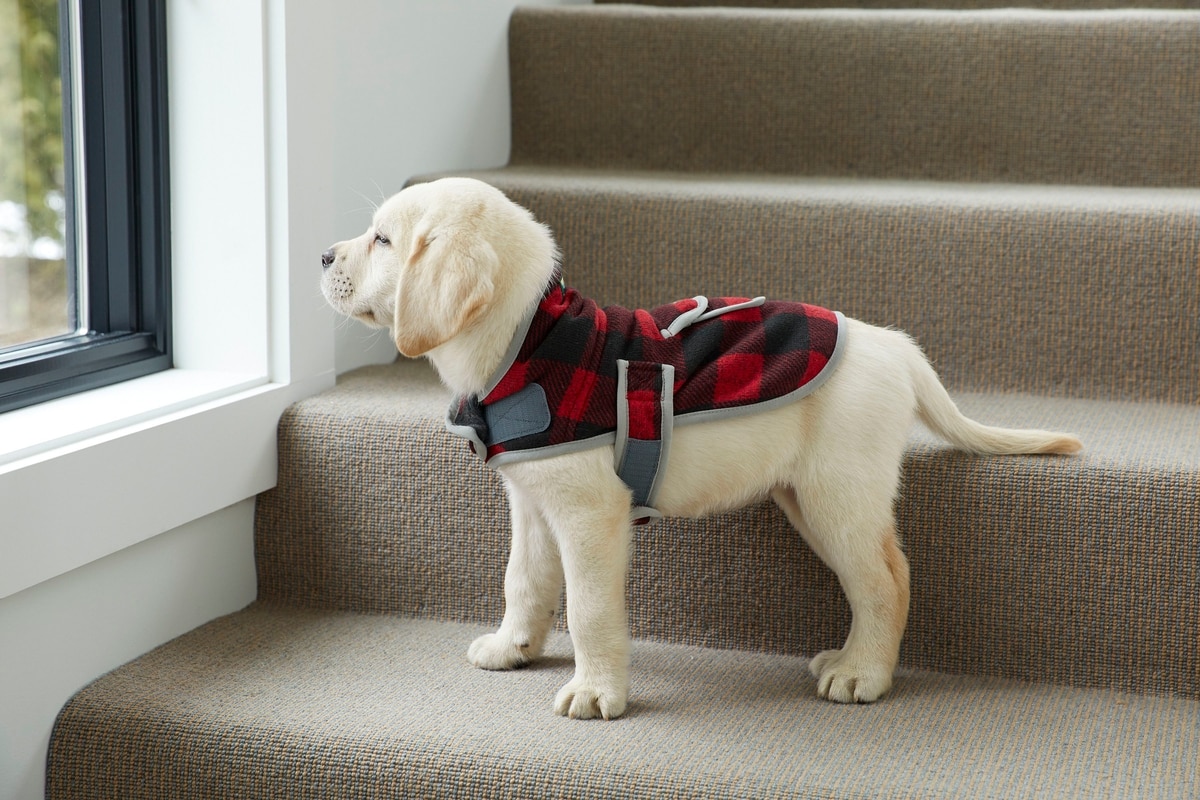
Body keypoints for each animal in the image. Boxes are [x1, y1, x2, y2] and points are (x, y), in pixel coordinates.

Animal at [321, 177, 1082, 720]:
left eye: (382, 240)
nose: (323, 253)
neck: (528, 339)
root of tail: (890, 343)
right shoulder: (534, 504)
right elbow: (524, 580)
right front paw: (514, 647)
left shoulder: (590, 518)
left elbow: (588, 608)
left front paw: (597, 692)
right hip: (804, 497)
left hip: (838, 495)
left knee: (887, 580)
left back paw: (863, 672)